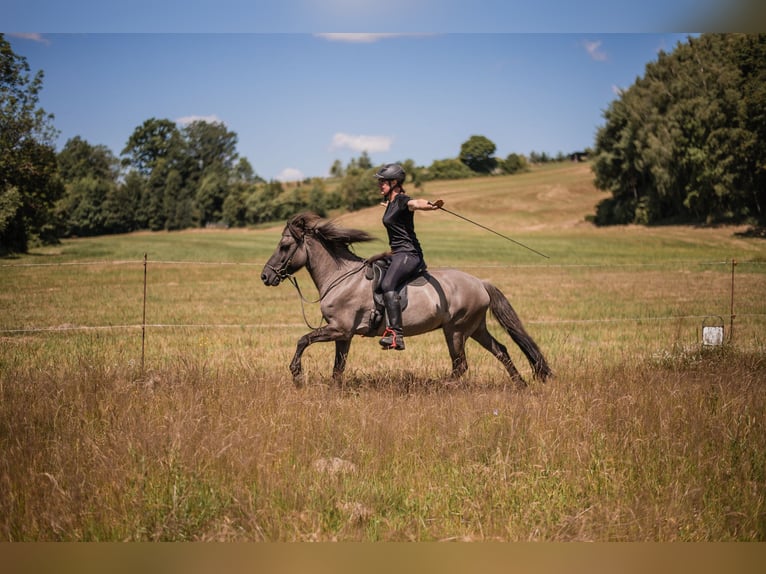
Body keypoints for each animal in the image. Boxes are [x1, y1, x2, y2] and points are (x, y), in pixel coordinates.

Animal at [260, 212, 552, 389]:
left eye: (284, 247)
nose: (265, 276)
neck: (341, 277)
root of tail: (480, 283)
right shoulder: (344, 335)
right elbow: (338, 367)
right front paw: (333, 390)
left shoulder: (338, 329)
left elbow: (302, 340)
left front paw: (297, 375)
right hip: (475, 328)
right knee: (501, 350)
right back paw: (520, 384)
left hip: (456, 331)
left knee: (460, 365)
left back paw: (442, 387)